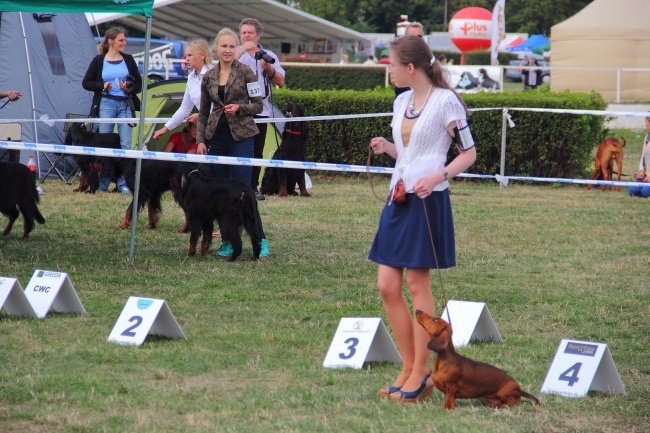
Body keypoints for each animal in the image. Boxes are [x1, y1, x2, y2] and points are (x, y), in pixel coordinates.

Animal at [412, 310, 540, 408]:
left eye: (435, 319)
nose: (417, 310)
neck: (443, 359)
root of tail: (519, 389)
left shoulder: (451, 385)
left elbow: (450, 397)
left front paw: (448, 407)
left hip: (506, 393)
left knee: (511, 403)